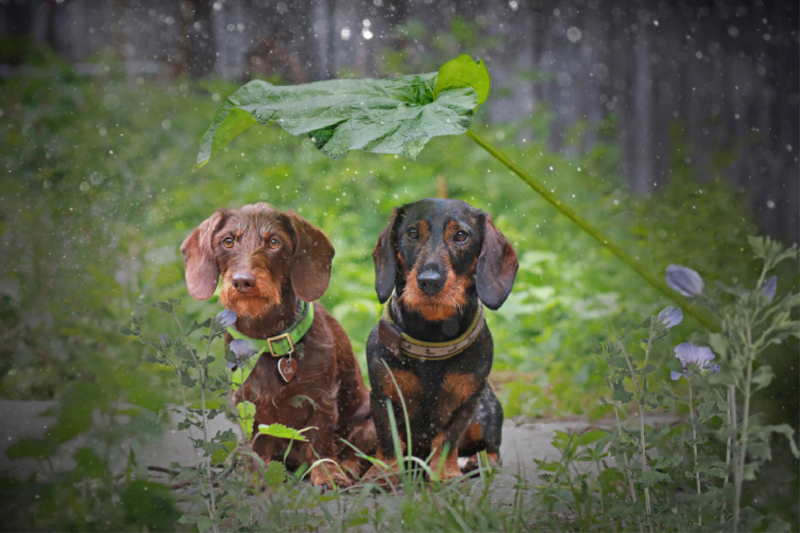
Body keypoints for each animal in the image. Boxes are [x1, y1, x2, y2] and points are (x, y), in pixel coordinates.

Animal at [183, 203, 376, 486]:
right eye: (228, 241)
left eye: (274, 242)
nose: (243, 281)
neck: (266, 339)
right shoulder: (247, 402)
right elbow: (257, 443)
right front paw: (255, 478)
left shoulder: (322, 398)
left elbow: (319, 439)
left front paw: (327, 475)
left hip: (369, 424)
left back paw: (348, 467)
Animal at [362, 197, 520, 480]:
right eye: (413, 233)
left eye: (461, 235)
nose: (429, 282)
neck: (432, 339)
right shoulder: (382, 395)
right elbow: (389, 439)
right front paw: (383, 473)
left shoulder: (468, 402)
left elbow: (448, 438)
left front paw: (443, 474)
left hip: (487, 415)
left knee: (492, 450)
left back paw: (476, 462)